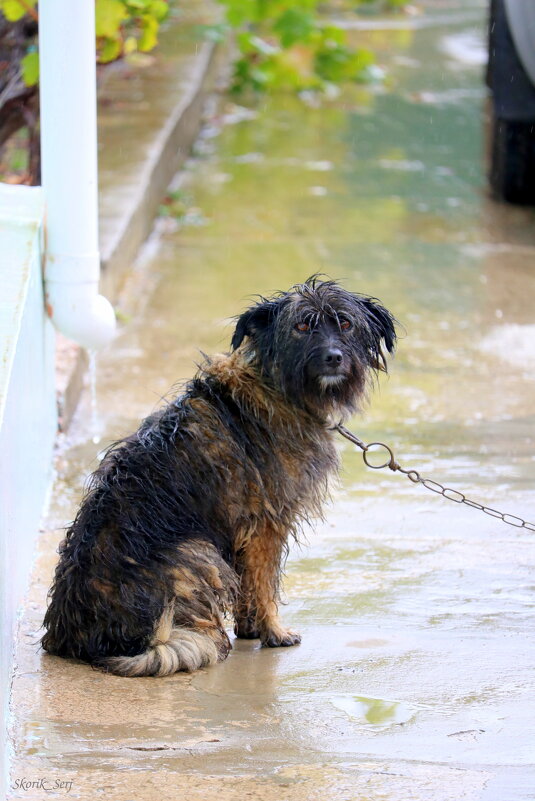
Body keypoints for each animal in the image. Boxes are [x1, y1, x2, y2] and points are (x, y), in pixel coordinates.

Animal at [42, 276, 396, 676]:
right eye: (302, 327)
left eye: (346, 324)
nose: (334, 357)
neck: (276, 386)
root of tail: (73, 637)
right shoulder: (267, 523)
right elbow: (265, 584)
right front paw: (274, 632)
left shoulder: (246, 530)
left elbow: (249, 584)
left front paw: (249, 628)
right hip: (198, 550)